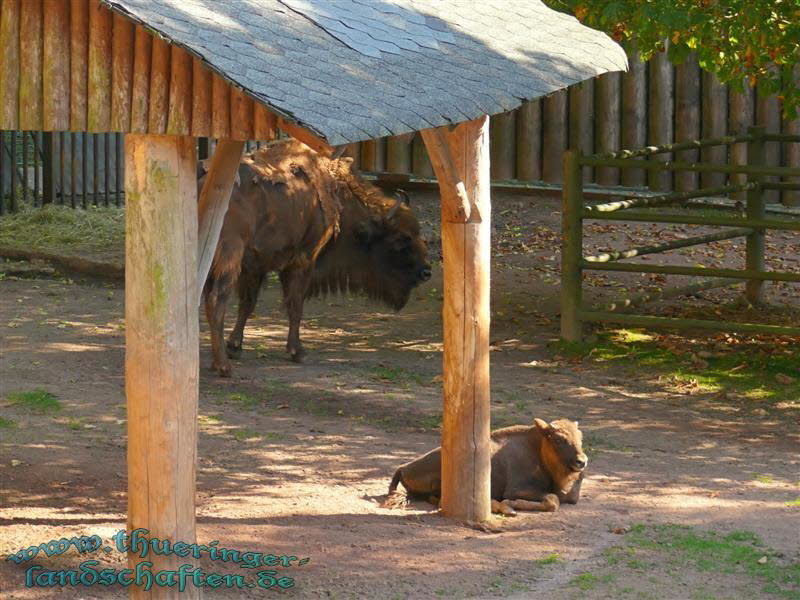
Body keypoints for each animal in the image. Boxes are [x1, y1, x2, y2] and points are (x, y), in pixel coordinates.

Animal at [200, 139, 432, 378]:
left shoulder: (257, 266)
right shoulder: (302, 260)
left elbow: (248, 304)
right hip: (228, 260)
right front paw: (298, 351)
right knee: (215, 301)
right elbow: (295, 304)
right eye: (401, 239)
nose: (426, 271)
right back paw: (223, 367)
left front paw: (235, 347)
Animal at [388, 418, 588, 516]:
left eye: (580, 436)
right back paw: (505, 509)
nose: (582, 461)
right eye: (558, 439)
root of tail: (404, 468)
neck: (537, 449)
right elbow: (553, 499)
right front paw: (511, 504)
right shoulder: (517, 489)